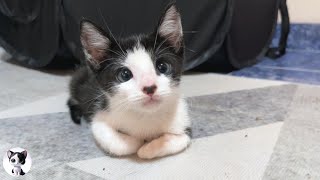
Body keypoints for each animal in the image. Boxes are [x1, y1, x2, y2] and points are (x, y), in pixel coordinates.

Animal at [67, 3, 191, 159]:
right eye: (125, 74)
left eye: (162, 67)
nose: (149, 87)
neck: (146, 115)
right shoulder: (99, 118)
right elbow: (122, 144)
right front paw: (139, 142)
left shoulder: (183, 121)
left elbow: (182, 138)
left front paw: (148, 148)